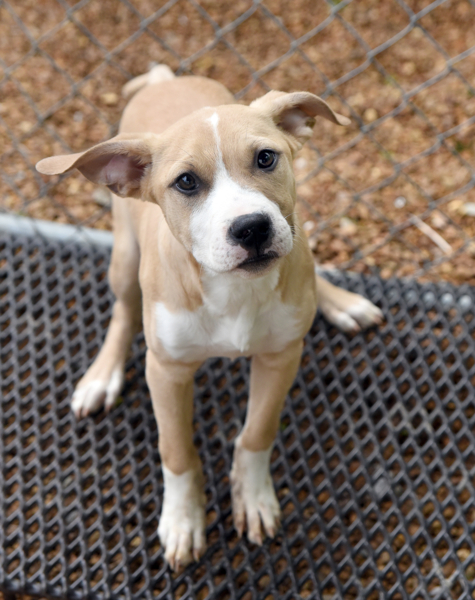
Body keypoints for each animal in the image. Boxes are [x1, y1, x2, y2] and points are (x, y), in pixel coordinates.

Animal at [38, 65, 384, 572]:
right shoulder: (166, 371)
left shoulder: (282, 356)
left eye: (266, 158)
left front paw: (253, 499)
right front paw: (183, 521)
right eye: (185, 182)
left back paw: (342, 302)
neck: (233, 291)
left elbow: (257, 433)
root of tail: (165, 77)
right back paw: (102, 376)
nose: (252, 228)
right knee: (123, 311)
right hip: (124, 255)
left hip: (296, 229)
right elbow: (177, 452)